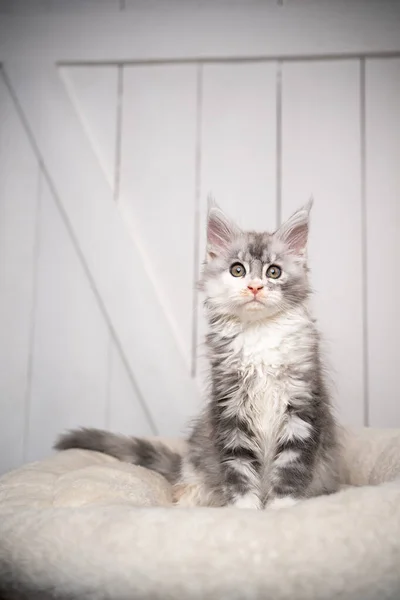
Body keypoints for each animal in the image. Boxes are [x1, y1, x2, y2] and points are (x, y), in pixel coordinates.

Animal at [55, 199, 338, 508]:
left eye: (273, 272)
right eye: (237, 271)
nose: (254, 287)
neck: (258, 334)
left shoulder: (302, 406)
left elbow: (290, 467)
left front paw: (280, 508)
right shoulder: (230, 408)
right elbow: (238, 467)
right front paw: (246, 509)